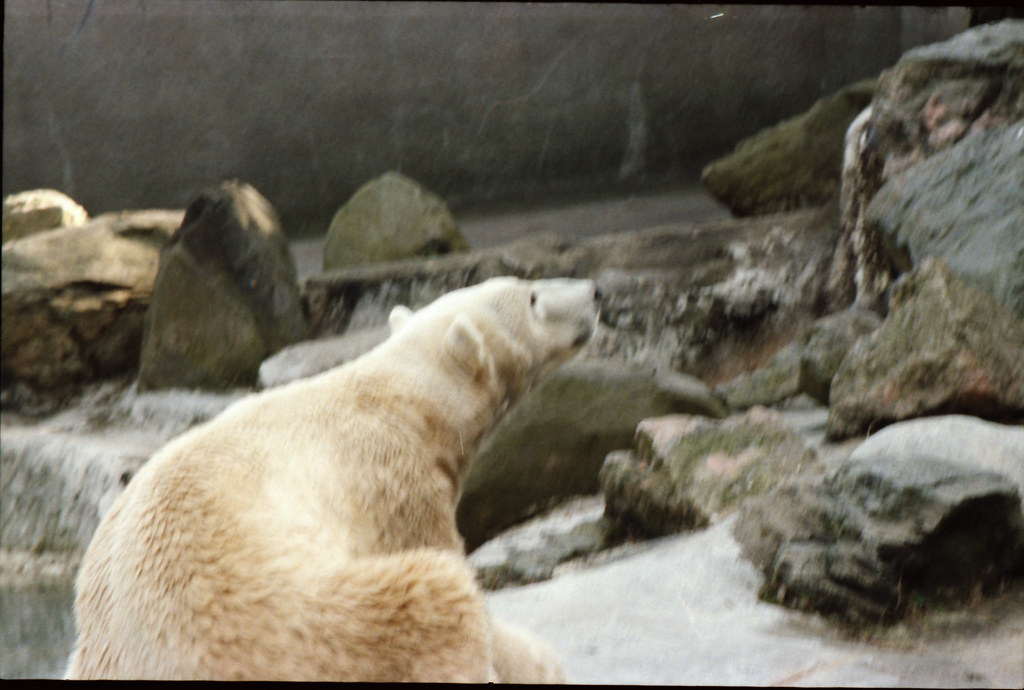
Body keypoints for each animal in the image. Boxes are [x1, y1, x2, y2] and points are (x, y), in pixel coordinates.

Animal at [66, 276, 599, 681]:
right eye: (531, 297)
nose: (593, 292)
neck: (404, 396)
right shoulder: (397, 485)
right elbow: (448, 562)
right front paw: (533, 661)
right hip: (311, 627)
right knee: (432, 595)